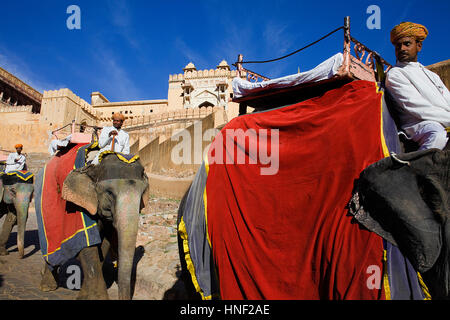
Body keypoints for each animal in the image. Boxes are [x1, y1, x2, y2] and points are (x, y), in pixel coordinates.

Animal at [38, 152, 149, 300]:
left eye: (142, 193)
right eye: (109, 193)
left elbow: (104, 243)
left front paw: (84, 295)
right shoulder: (79, 208)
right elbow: (88, 244)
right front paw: (96, 298)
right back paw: (47, 287)